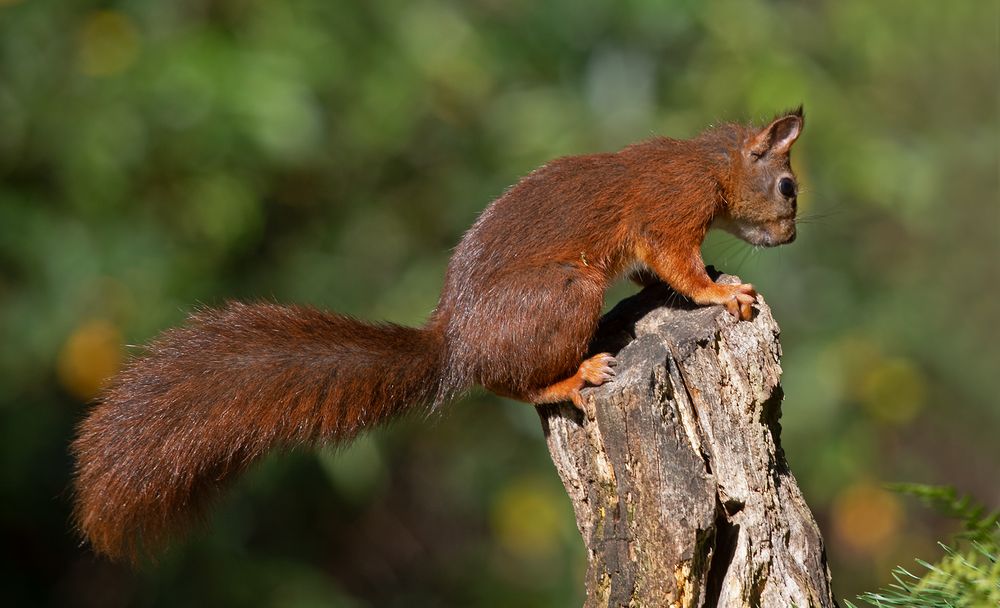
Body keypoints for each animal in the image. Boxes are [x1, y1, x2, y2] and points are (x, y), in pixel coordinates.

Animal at [70, 108, 804, 560]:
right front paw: (722, 292)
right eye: (789, 187)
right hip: (564, 295)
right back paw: (573, 375)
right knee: (510, 385)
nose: (792, 239)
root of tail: (456, 347)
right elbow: (677, 263)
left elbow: (663, 272)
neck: (711, 163)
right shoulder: (668, 211)